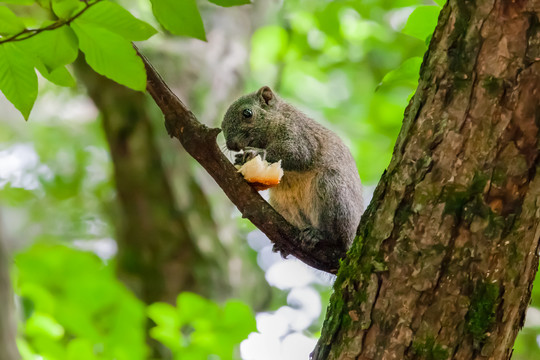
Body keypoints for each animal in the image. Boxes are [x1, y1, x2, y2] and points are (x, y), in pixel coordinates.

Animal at [221, 86, 364, 258]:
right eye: (221, 126)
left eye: (247, 113)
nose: (231, 145)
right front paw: (240, 159)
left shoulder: (298, 133)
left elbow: (298, 154)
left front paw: (256, 153)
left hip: (333, 192)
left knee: (337, 238)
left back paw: (320, 235)